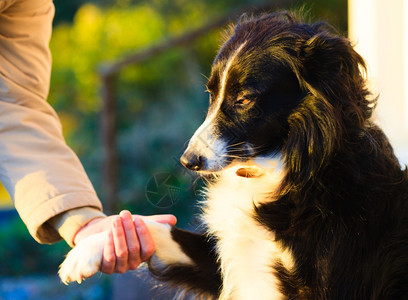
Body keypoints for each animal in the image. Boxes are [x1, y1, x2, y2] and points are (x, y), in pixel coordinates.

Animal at [59, 12, 408, 300]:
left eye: (244, 99)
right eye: (211, 94)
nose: (188, 161)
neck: (279, 169)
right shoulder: (229, 257)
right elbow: (161, 229)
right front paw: (89, 250)